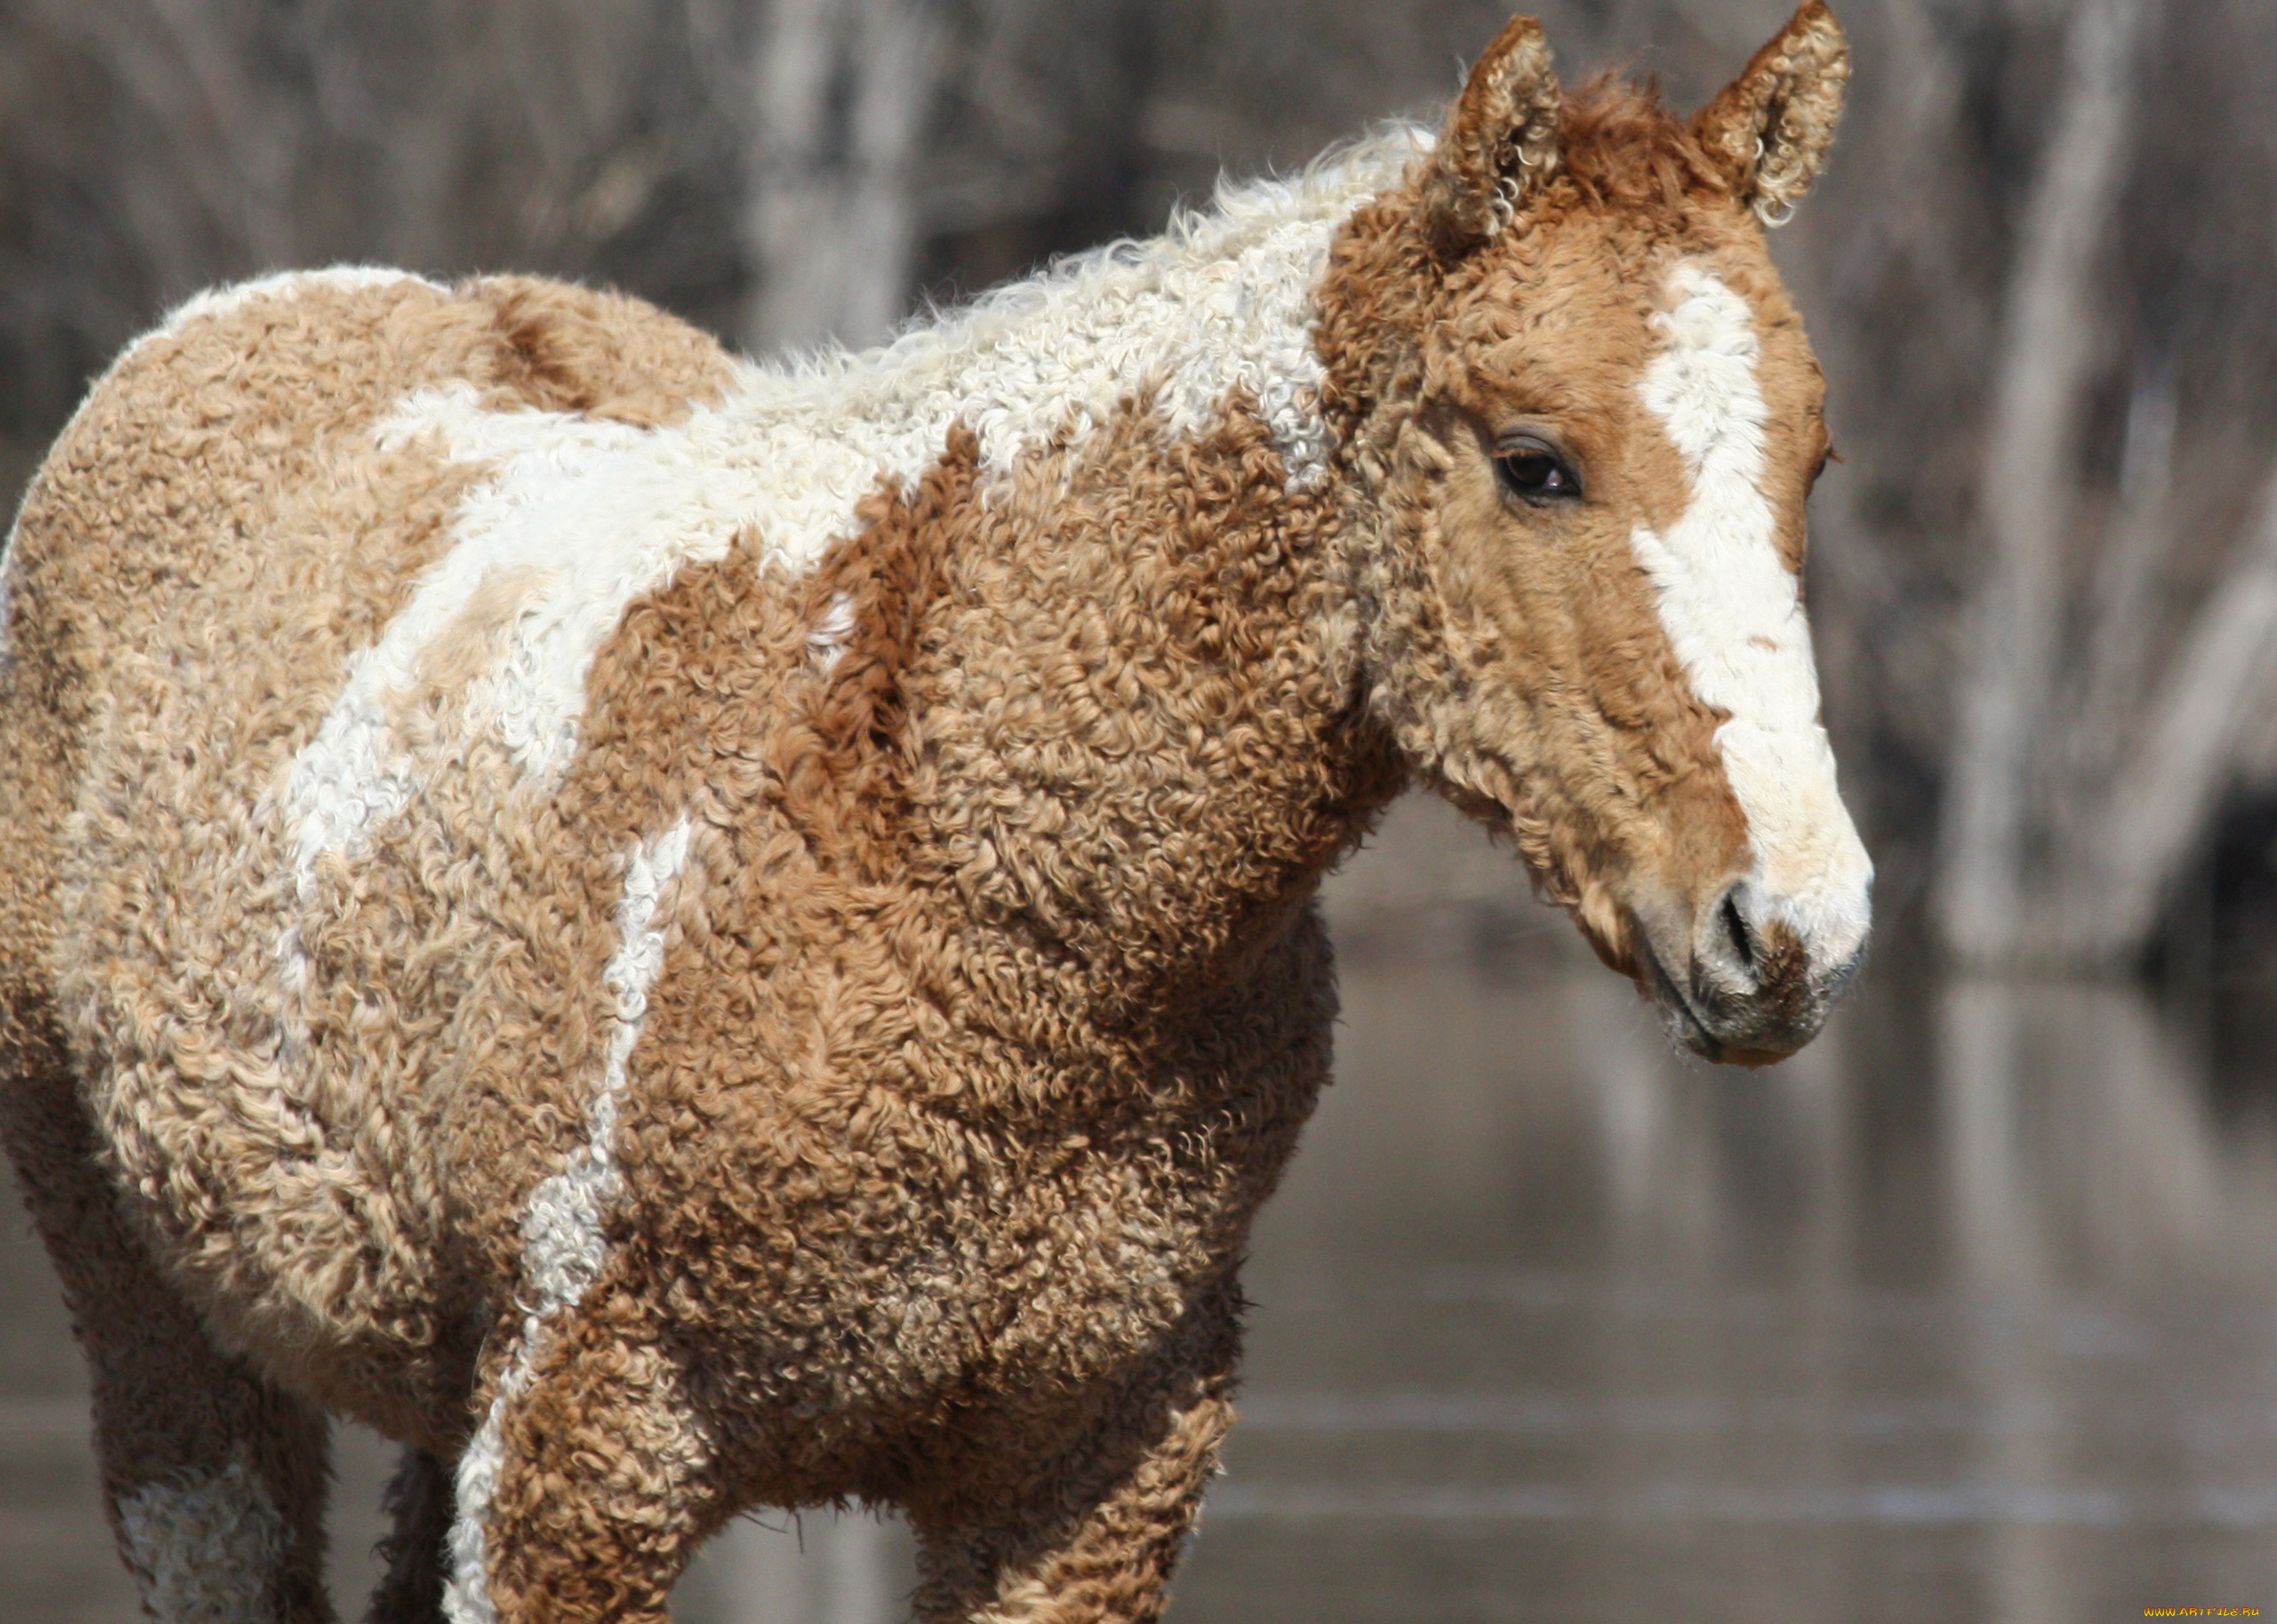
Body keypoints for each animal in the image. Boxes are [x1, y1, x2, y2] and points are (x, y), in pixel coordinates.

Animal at [0, 6, 1867, 1612]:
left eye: (1813, 465)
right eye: (1536, 461)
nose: (1792, 926)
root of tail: (218, 326)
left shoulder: (1089, 1471)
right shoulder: (578, 1458)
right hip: (165, 1337)